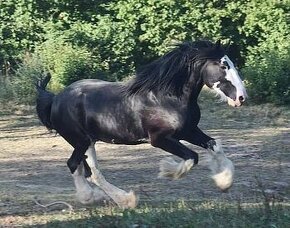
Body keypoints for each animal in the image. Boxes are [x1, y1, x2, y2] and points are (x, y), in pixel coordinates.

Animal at [35, 39, 246, 208]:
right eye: (223, 66)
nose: (241, 98)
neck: (167, 97)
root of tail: (55, 99)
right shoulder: (159, 139)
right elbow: (192, 157)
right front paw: (167, 171)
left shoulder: (189, 131)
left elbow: (214, 145)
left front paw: (224, 182)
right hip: (81, 140)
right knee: (83, 168)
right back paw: (119, 200)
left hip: (88, 141)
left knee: (82, 168)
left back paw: (101, 197)